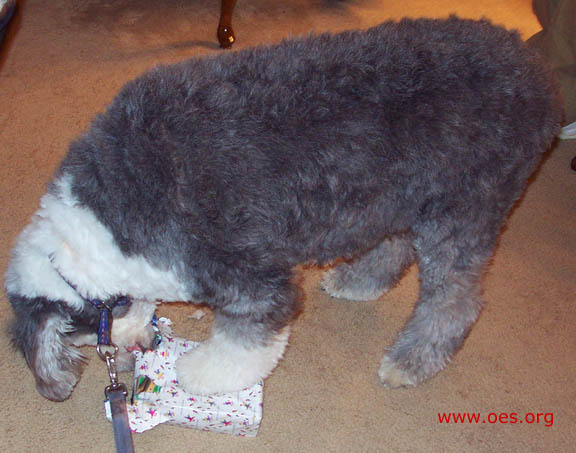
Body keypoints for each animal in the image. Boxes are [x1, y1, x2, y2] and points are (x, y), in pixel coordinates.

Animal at [5, 16, 564, 400]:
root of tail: (538, 76)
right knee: (395, 244)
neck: (101, 226)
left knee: (454, 302)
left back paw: (409, 362)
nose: (147, 348)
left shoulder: (248, 274)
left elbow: (246, 340)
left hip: (466, 205)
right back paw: (358, 282)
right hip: (398, 193)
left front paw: (200, 373)